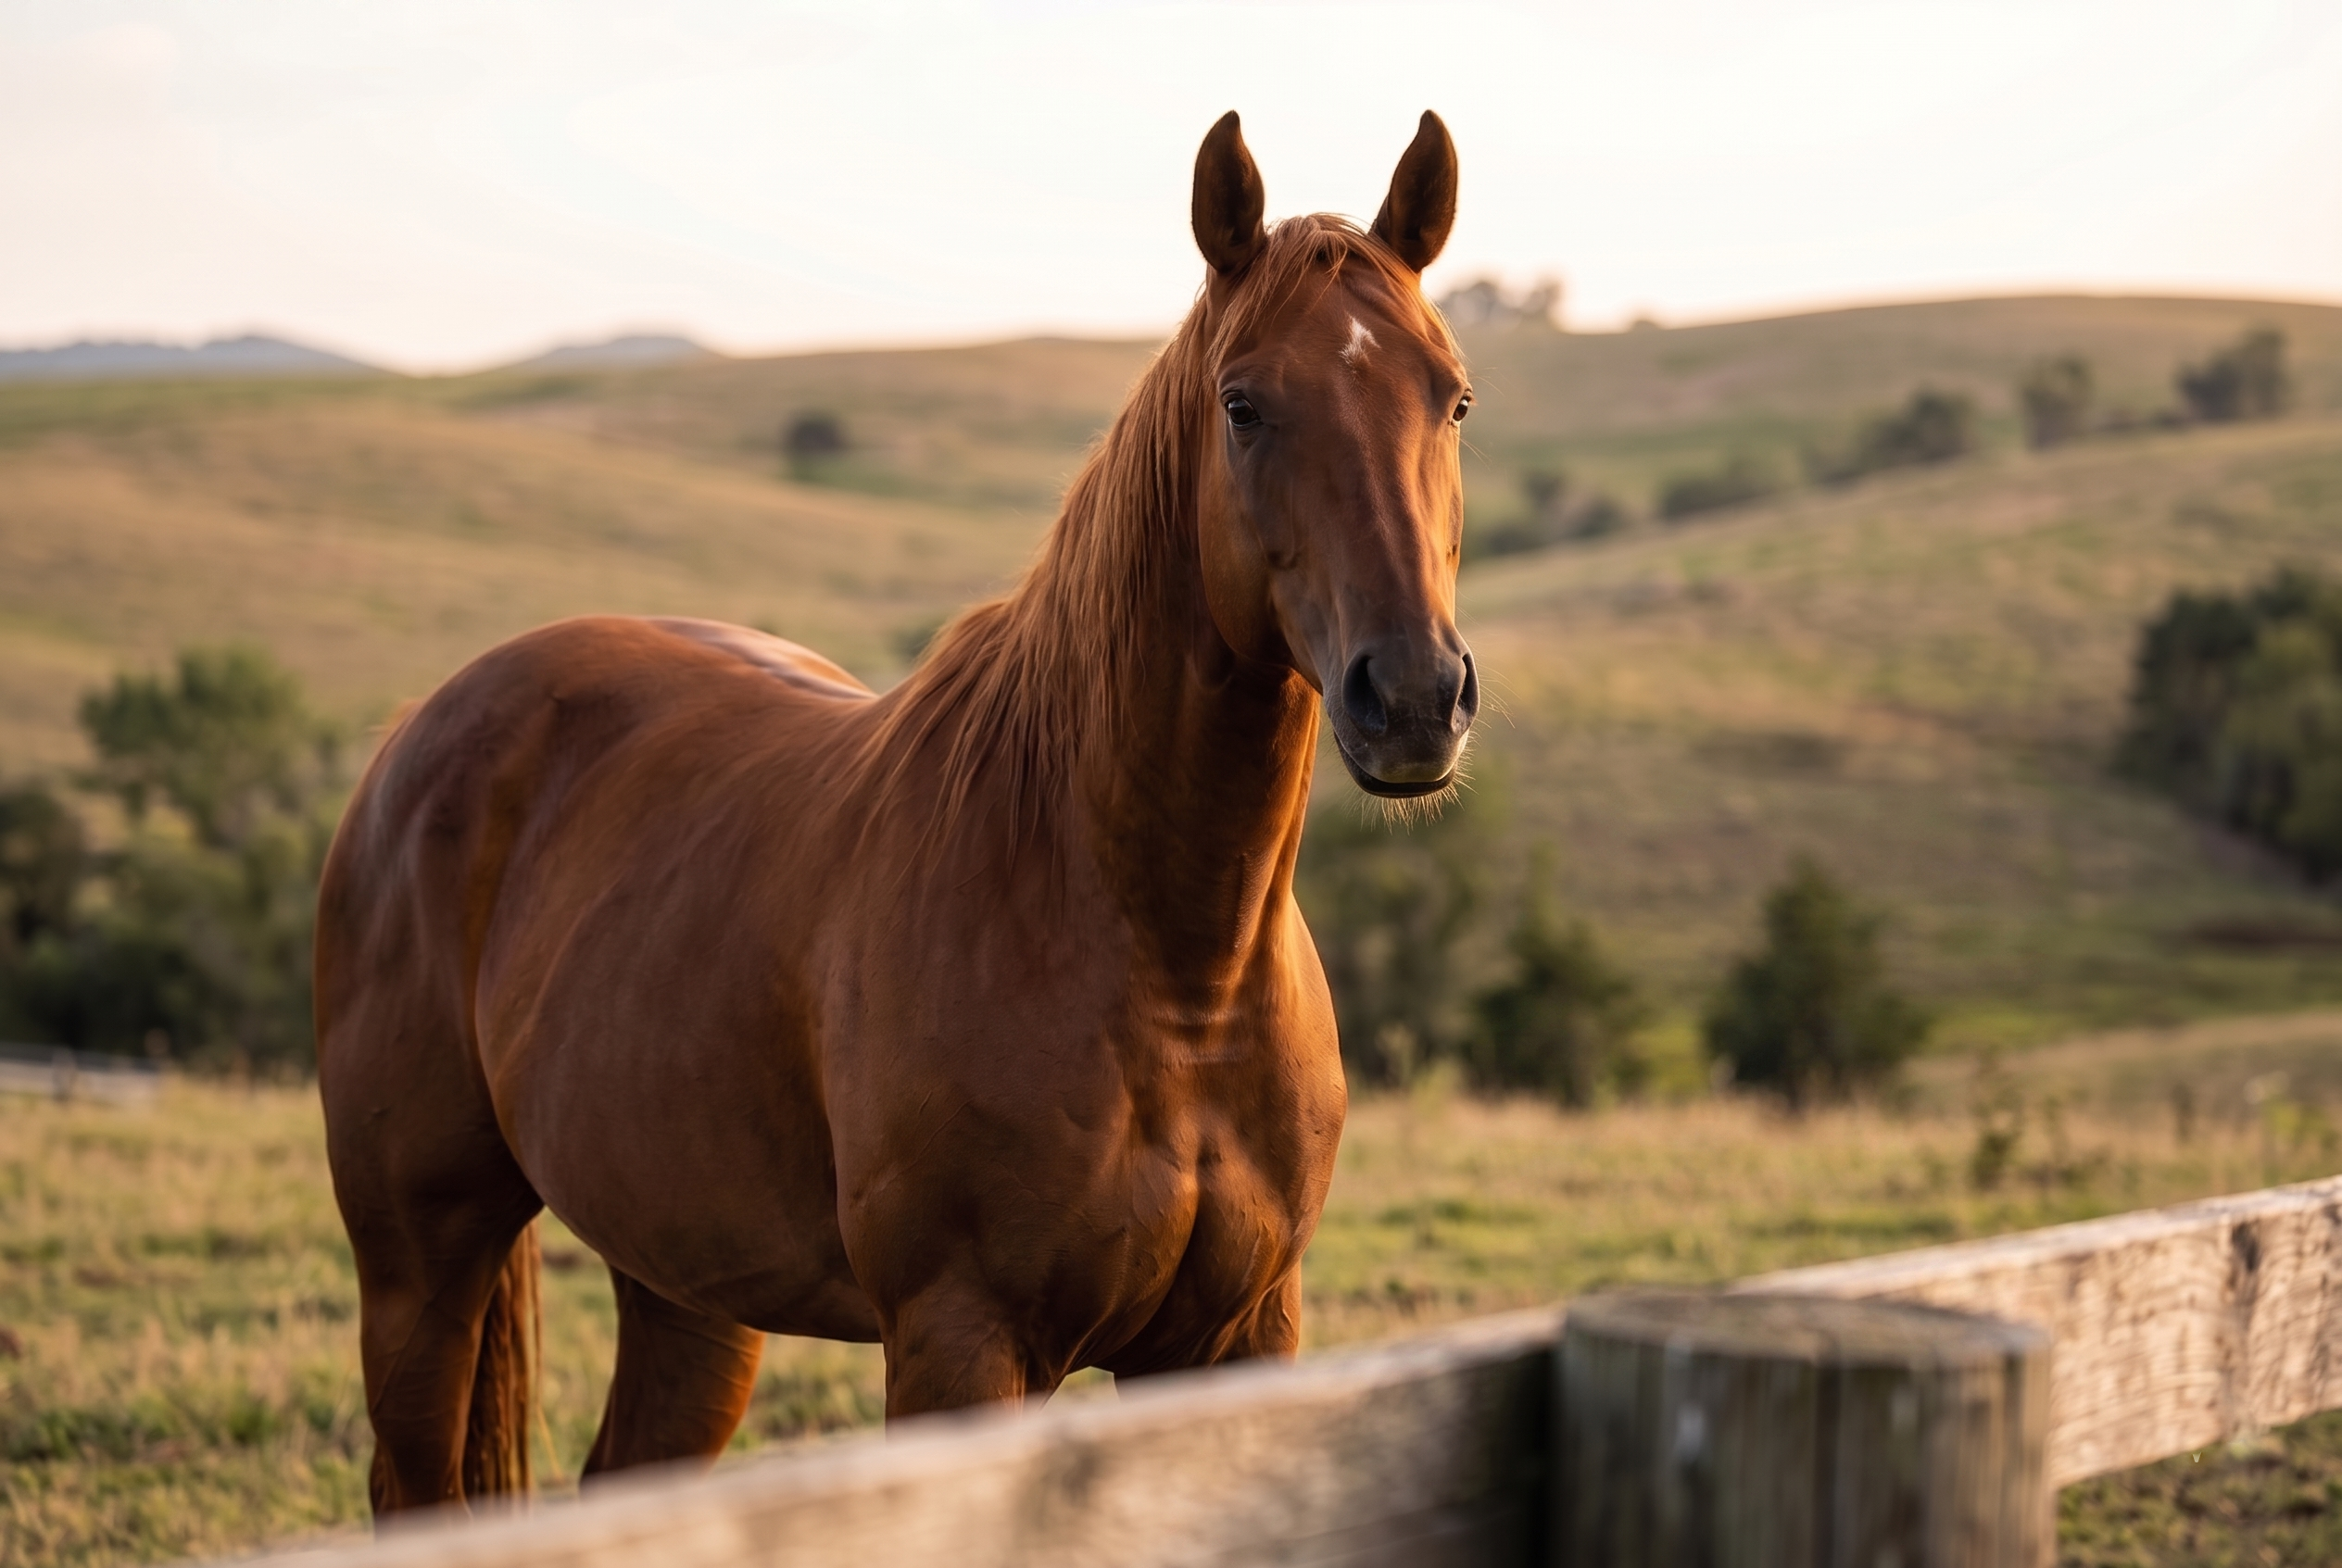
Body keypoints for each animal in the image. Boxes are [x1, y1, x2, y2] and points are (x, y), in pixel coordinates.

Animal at [316, 108, 1479, 1517]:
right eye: (1243, 404)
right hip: (421, 1263)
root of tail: (420, 732)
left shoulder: (1239, 1337)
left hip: (684, 1278)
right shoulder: (961, 1342)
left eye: (1452, 395)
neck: (1161, 964)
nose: (1411, 696)